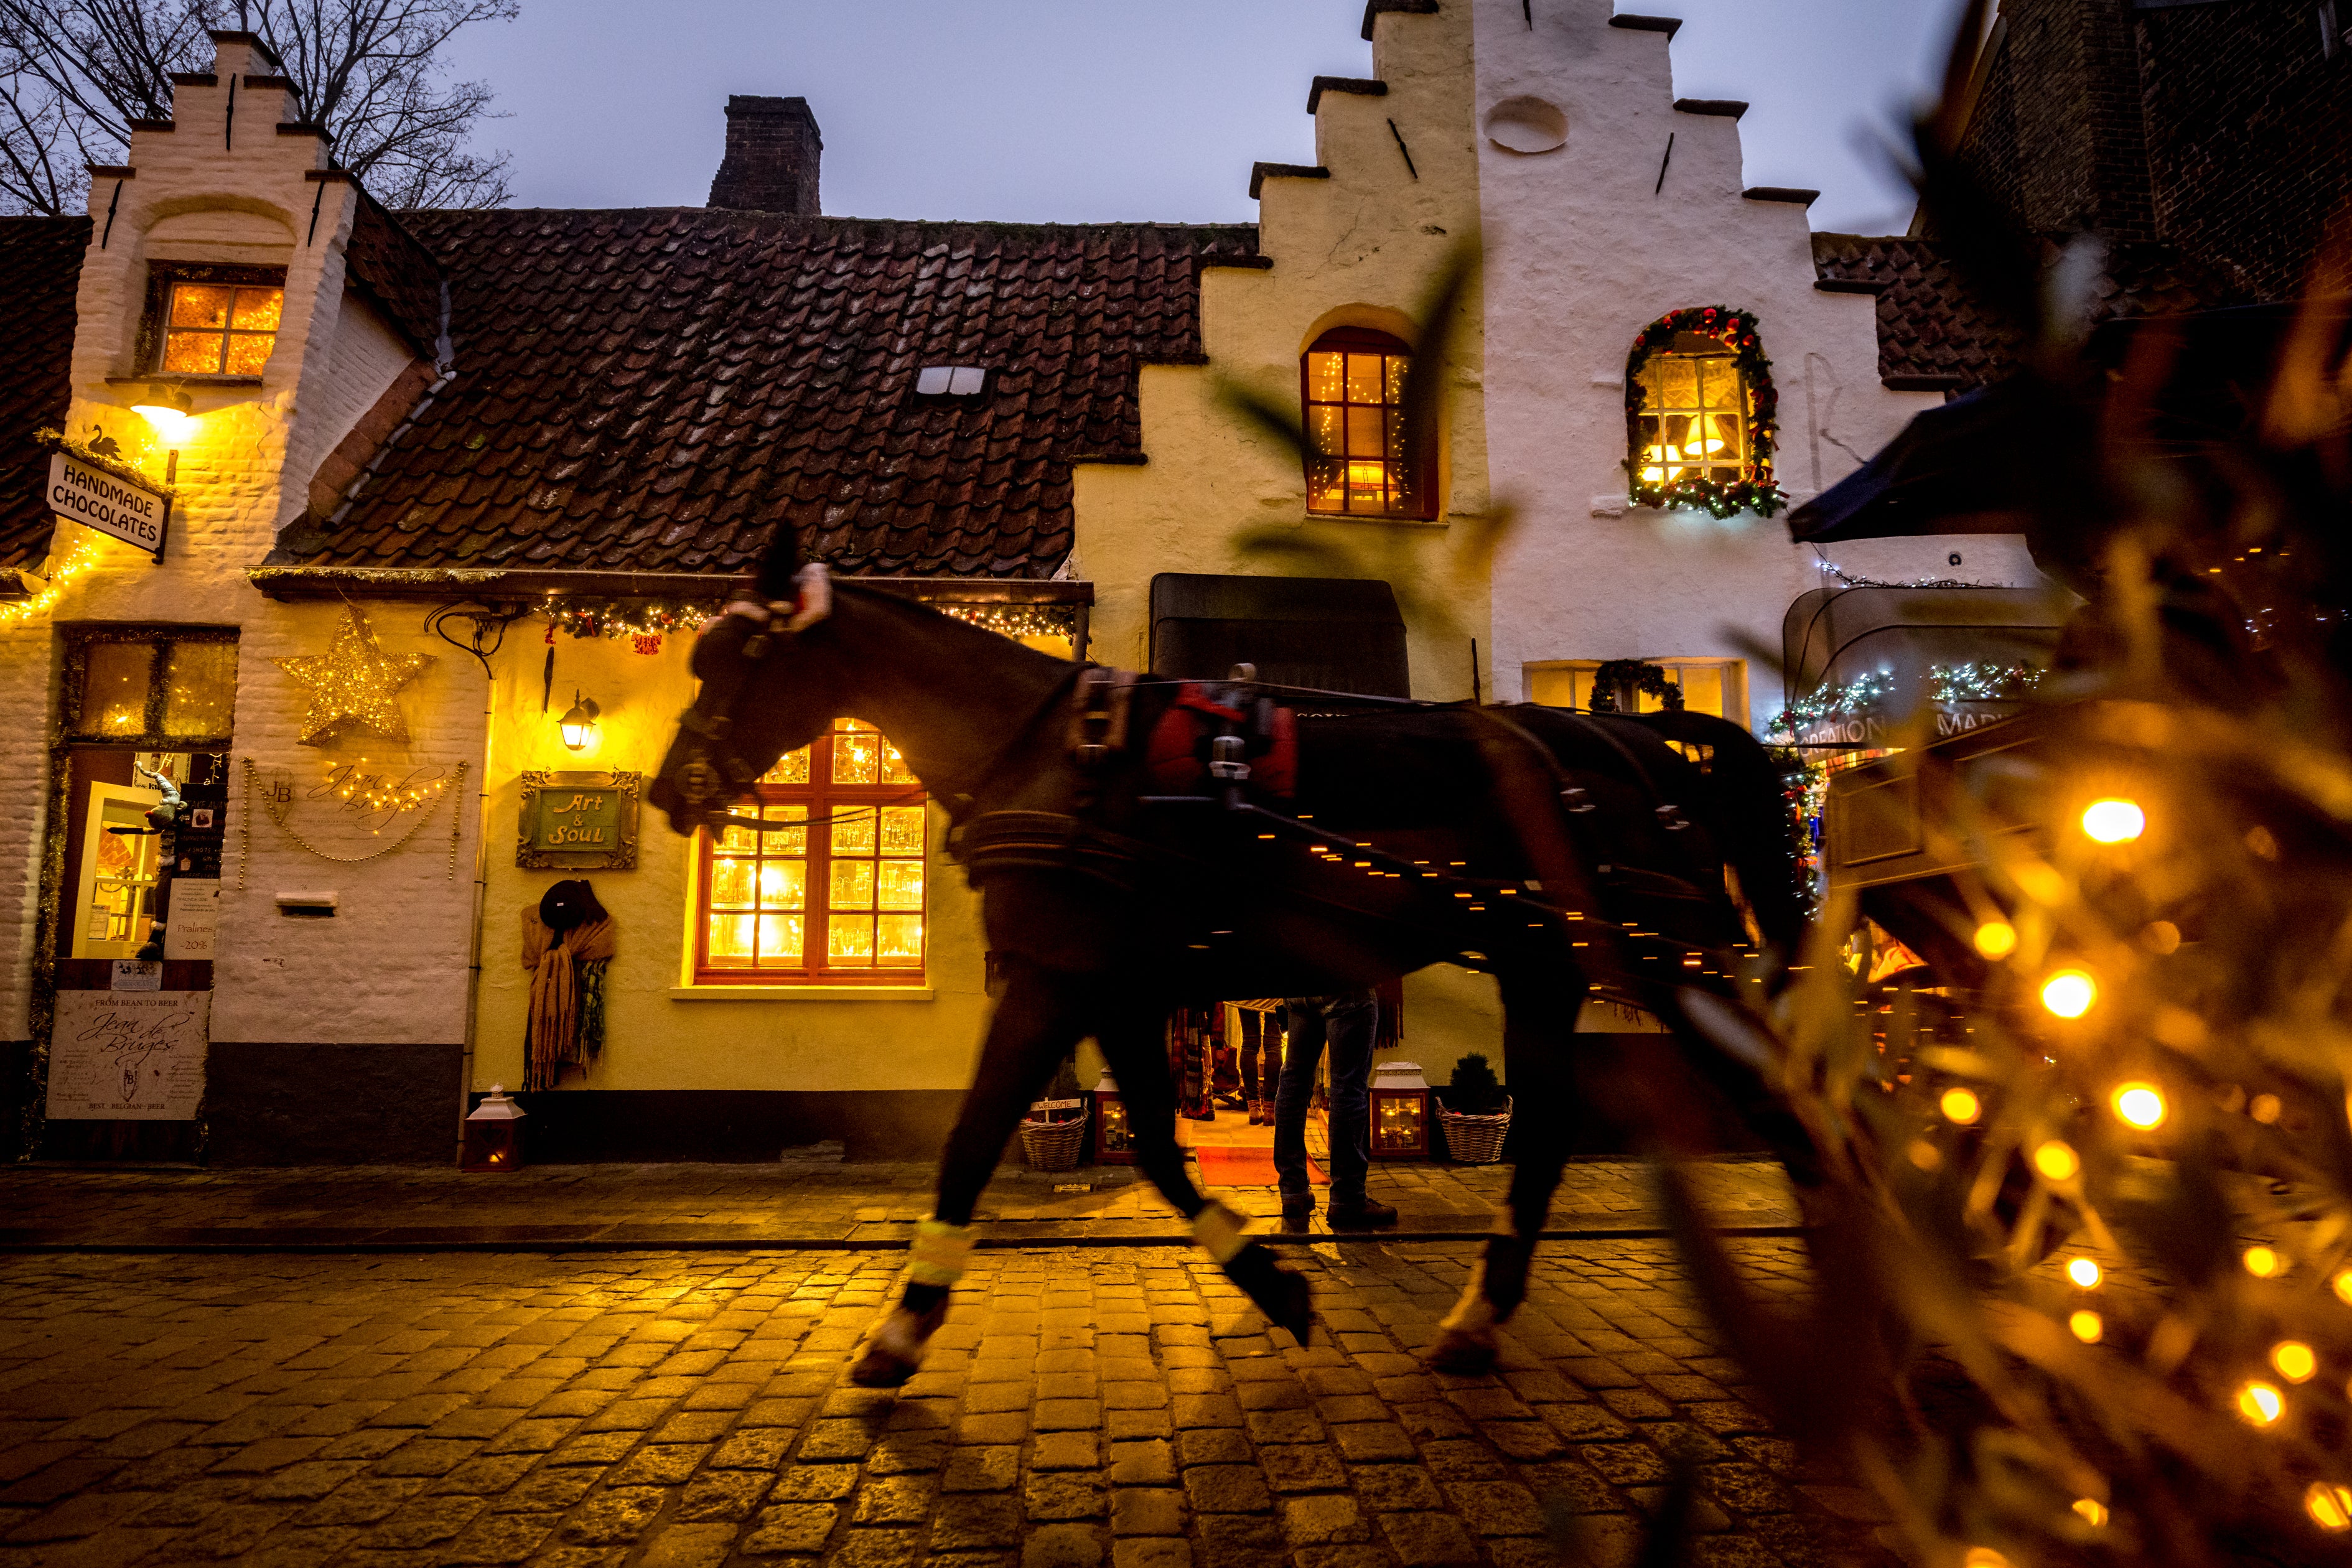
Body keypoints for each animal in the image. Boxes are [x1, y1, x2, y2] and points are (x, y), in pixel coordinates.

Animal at [653, 543, 1806, 1382]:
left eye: (728, 660)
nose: (670, 792)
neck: (1047, 754)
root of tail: (1646, 746)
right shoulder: (1111, 990)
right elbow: (1160, 1153)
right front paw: (1271, 1281)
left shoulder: (1052, 980)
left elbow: (974, 1140)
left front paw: (902, 1329)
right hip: (1547, 967)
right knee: (1553, 1128)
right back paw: (1477, 1320)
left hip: (1667, 965)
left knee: (1774, 1094)